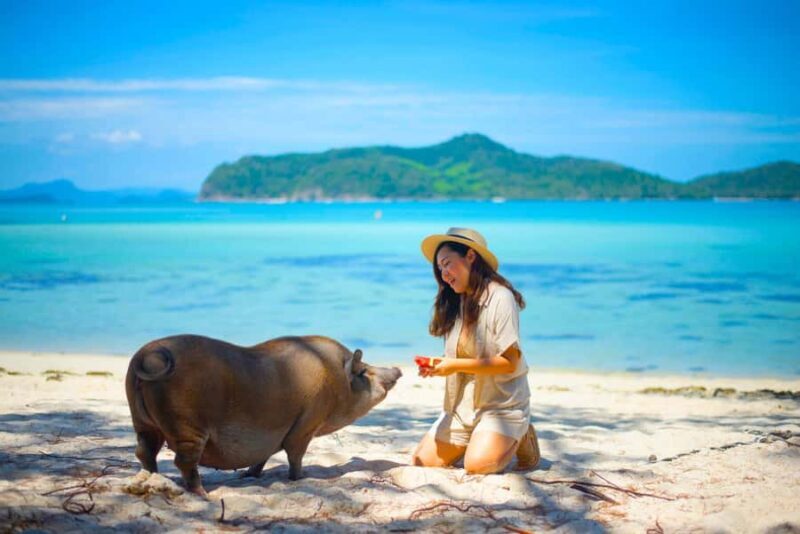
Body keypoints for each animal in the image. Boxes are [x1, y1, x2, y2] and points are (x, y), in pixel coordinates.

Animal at [125, 334, 402, 497]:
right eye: (363, 371)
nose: (397, 369)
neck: (336, 380)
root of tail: (145, 355)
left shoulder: (274, 434)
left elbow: (263, 456)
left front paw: (248, 475)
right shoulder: (306, 423)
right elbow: (295, 454)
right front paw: (300, 479)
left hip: (143, 422)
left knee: (144, 451)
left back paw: (151, 478)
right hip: (185, 425)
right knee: (183, 461)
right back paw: (203, 494)